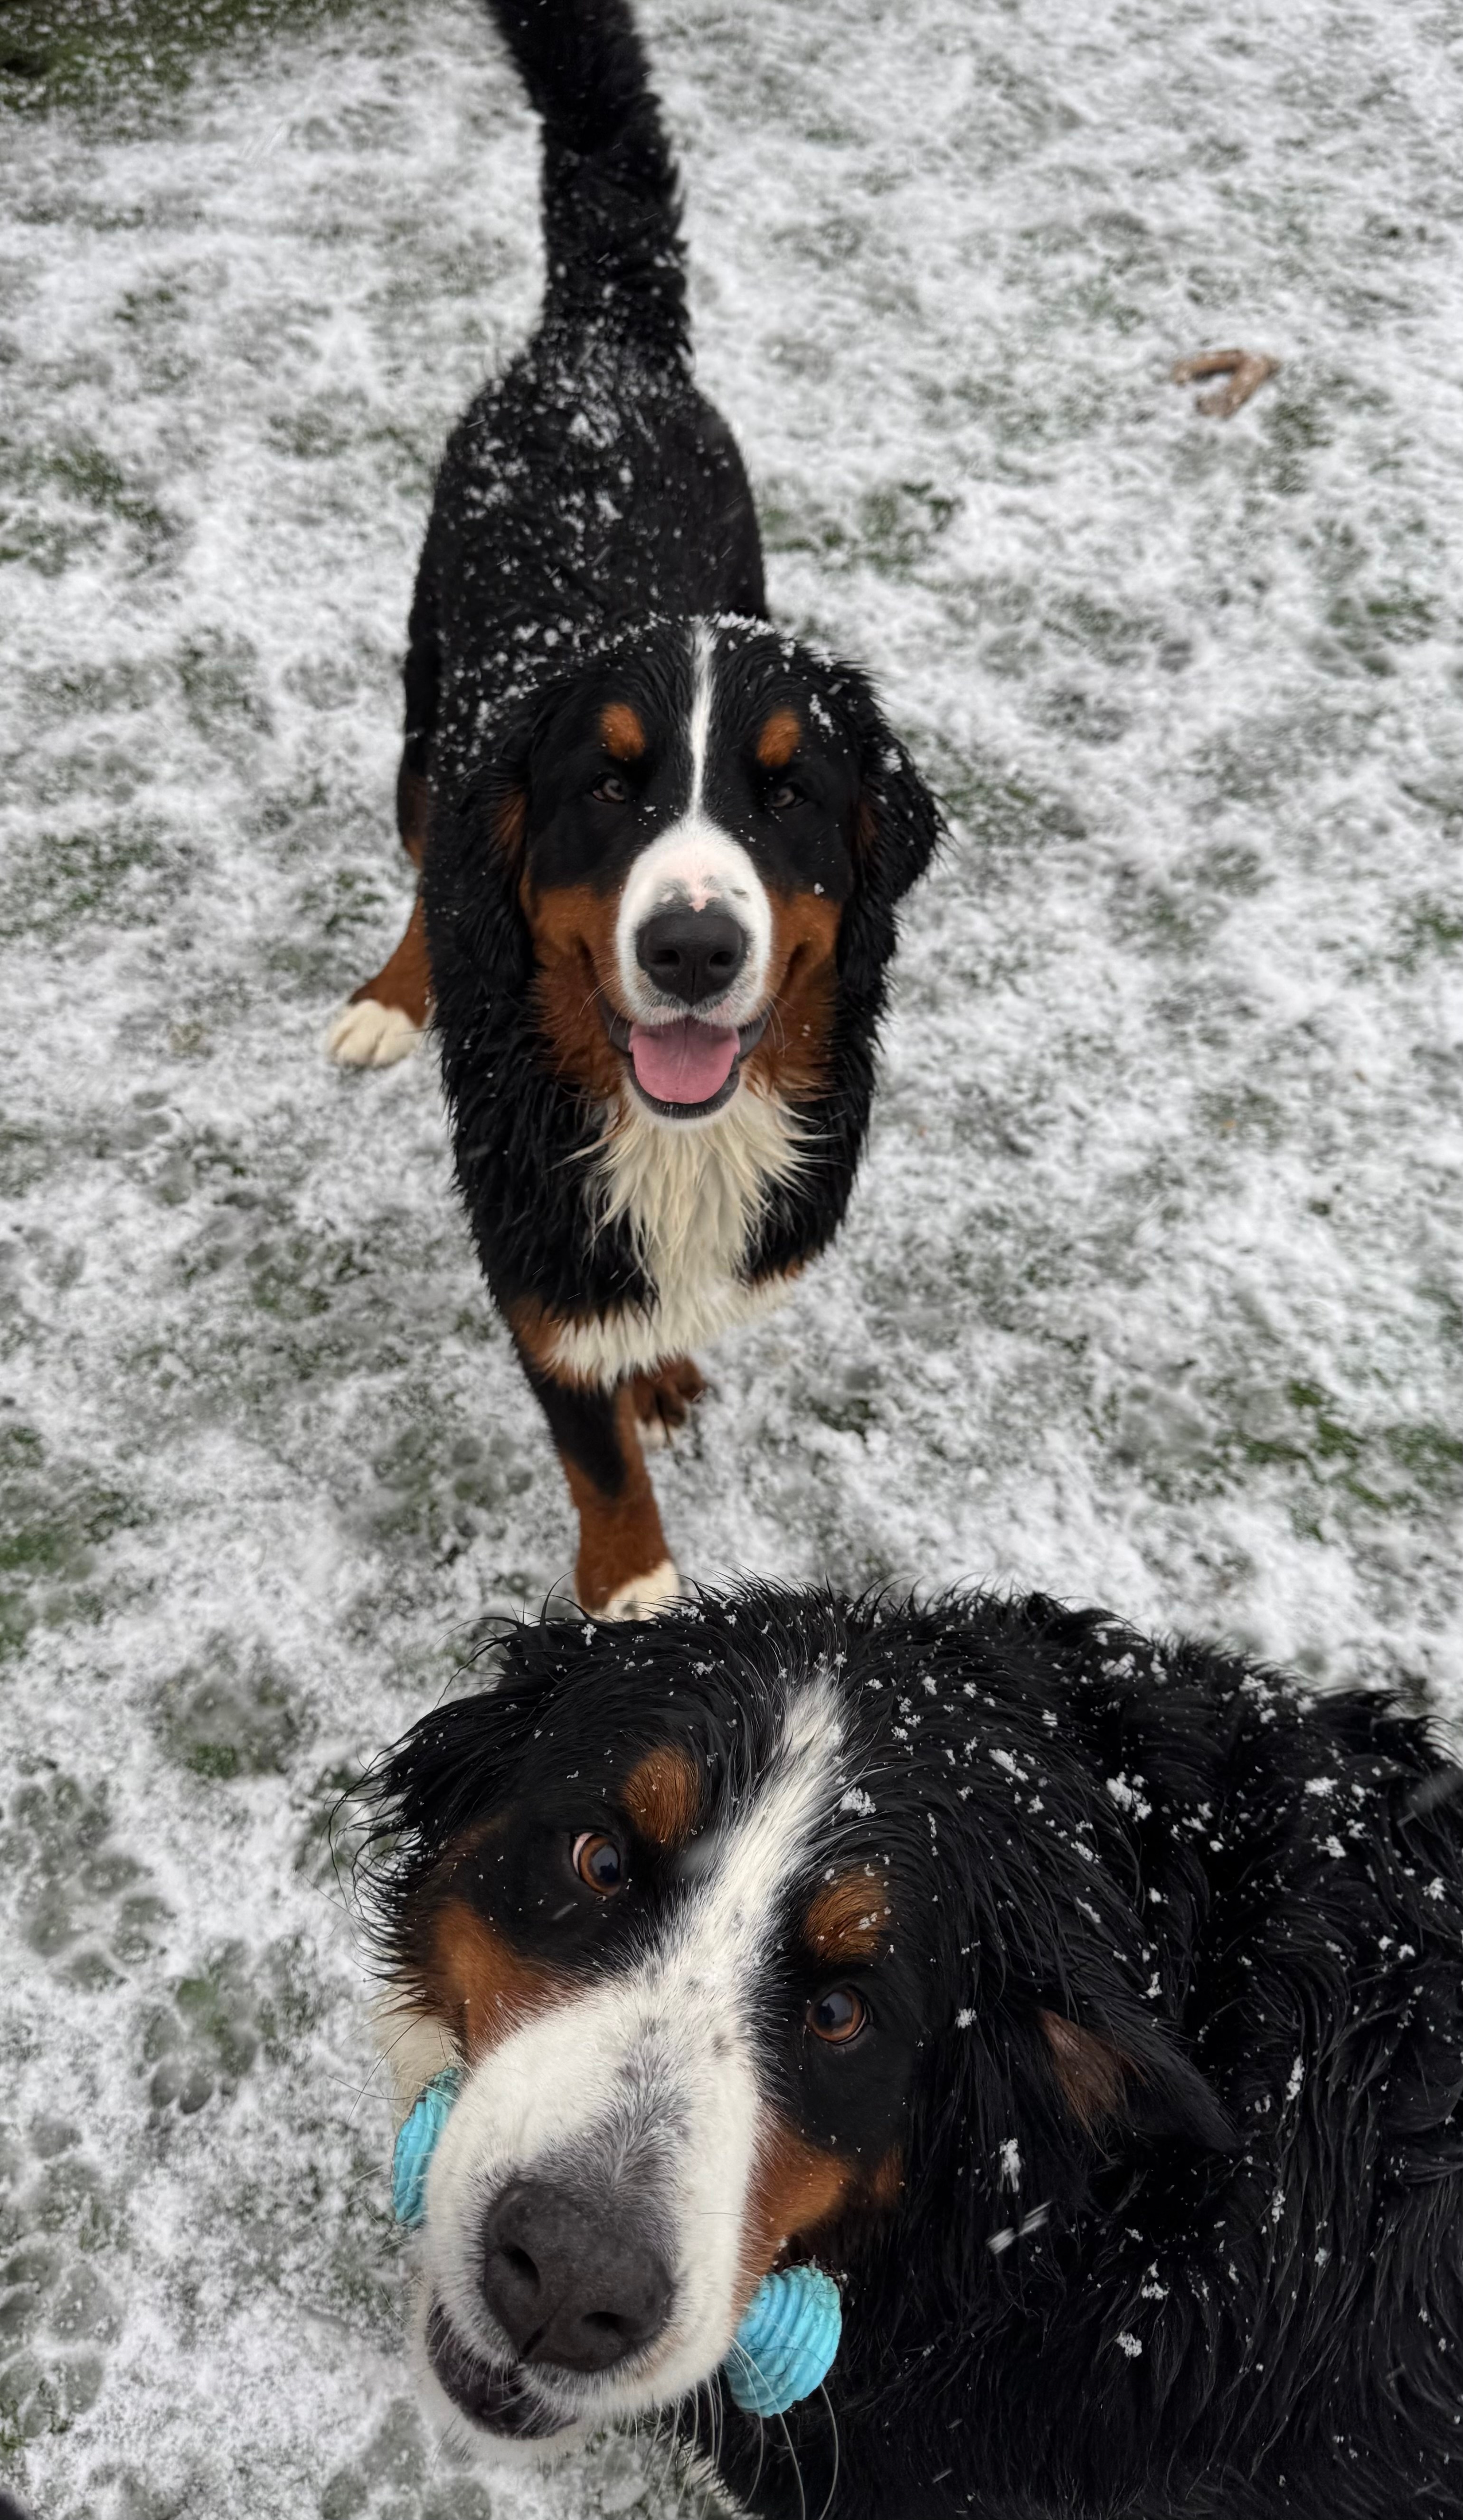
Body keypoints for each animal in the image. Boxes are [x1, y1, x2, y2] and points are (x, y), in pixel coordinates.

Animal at [325, 0, 942, 1612]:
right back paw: (391, 993)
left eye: (790, 790)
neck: (672, 1131)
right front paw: (636, 1588)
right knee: (427, 861)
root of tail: (596, 347)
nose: (690, 951)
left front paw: (661, 1376)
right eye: (607, 783)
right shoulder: (535, 1247)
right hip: (425, 729)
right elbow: (590, 1443)